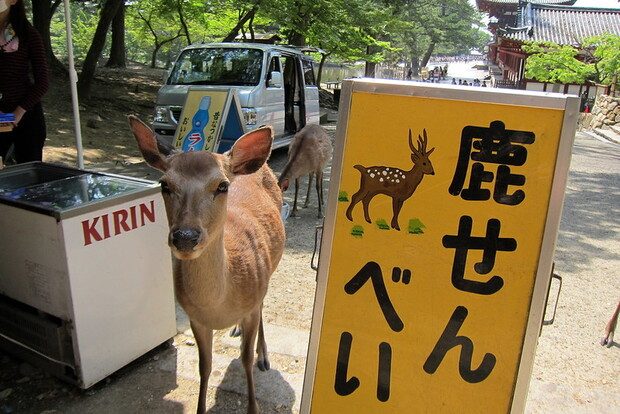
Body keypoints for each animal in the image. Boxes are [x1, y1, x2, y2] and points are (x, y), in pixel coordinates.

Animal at [129, 116, 288, 414]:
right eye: (164, 184)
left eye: (222, 186)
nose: (185, 236)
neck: (219, 306)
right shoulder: (195, 318)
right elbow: (205, 366)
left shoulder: (251, 301)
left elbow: (245, 359)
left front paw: (253, 405)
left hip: (270, 270)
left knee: (263, 305)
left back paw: (263, 356)